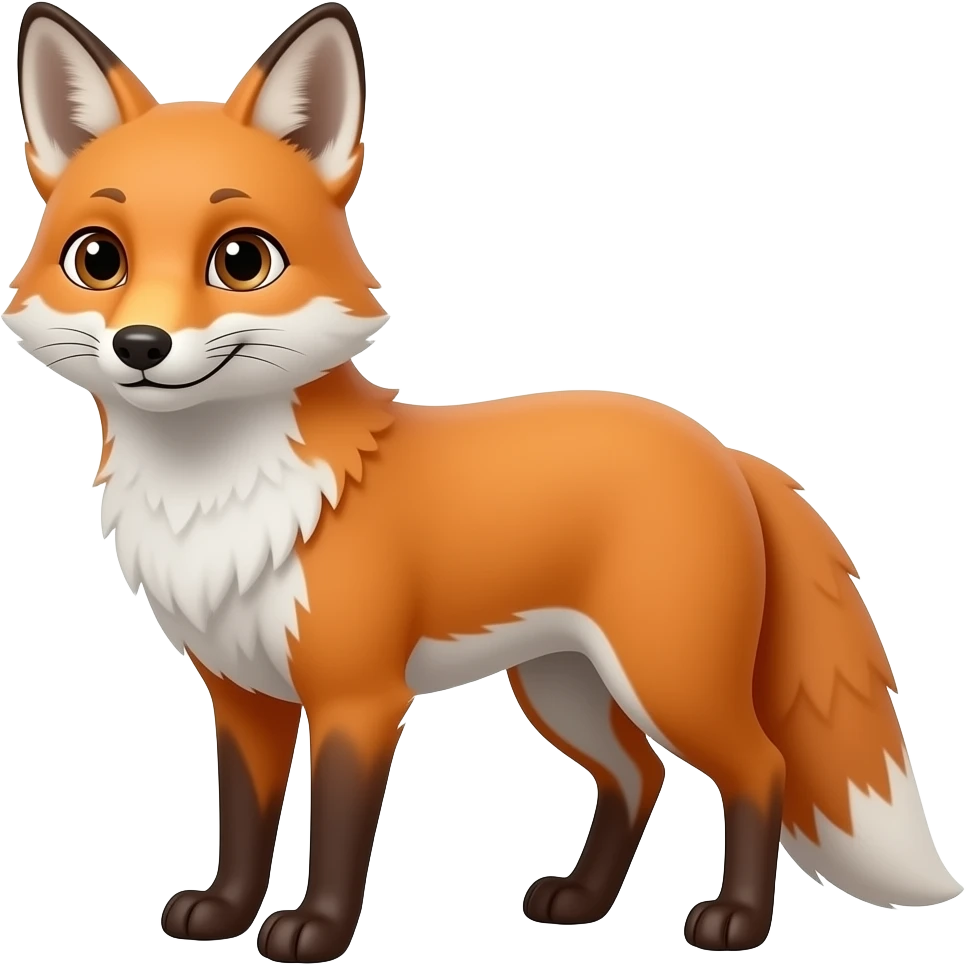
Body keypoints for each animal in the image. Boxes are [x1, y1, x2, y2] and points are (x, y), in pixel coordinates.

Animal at [6, 2, 962, 962]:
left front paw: (317, 930)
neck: (219, 493)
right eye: (98, 259)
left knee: (761, 767)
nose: (141, 346)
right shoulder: (243, 697)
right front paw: (224, 912)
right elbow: (243, 822)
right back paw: (581, 900)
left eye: (242, 260)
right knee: (638, 775)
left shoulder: (359, 697)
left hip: (668, 676)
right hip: (565, 685)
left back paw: (736, 921)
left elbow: (339, 830)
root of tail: (723, 448)